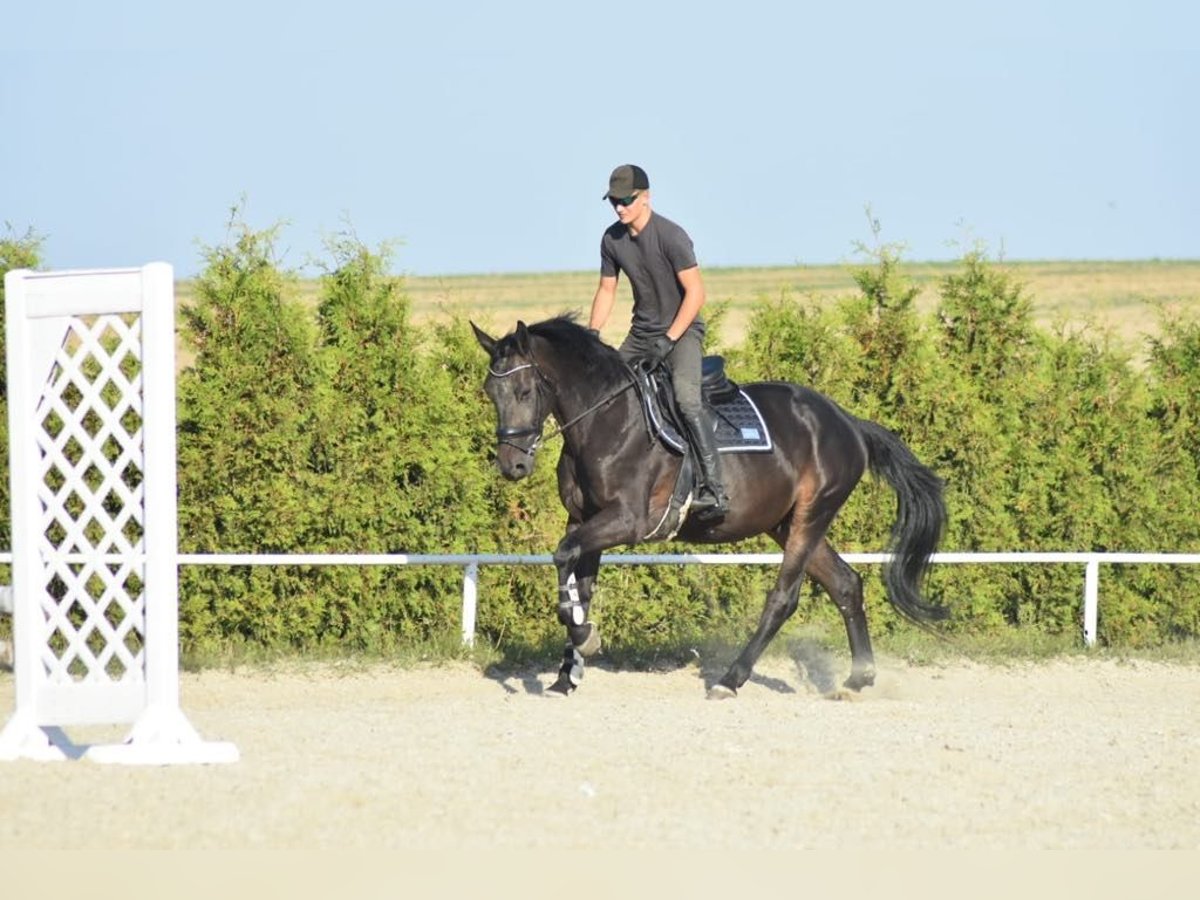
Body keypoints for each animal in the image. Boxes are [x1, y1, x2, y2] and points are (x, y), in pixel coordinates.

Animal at [468, 314, 945, 700]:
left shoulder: (627, 520)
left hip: (811, 515)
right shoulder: (584, 520)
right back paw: (859, 678)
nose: (512, 465)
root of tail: (848, 422)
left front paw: (585, 639)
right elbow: (577, 582)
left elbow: (564, 557)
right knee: (846, 584)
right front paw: (568, 674)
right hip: (786, 522)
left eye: (524, 390)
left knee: (784, 598)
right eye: (491, 391)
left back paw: (730, 680)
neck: (605, 420)